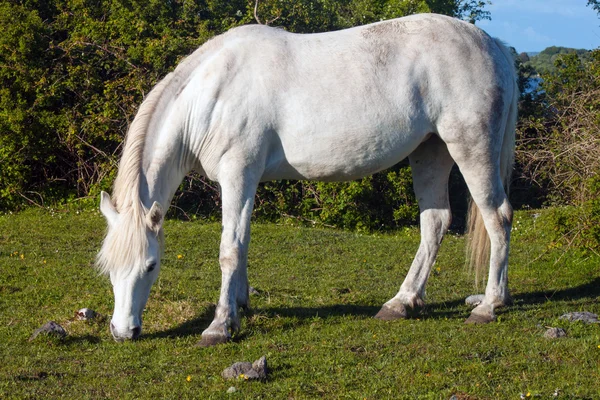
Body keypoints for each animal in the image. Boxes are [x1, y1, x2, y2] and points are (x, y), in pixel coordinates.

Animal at [96, 12, 516, 344]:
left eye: (151, 265)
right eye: (108, 267)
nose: (124, 331)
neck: (213, 92)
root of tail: (492, 45)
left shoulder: (238, 174)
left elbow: (229, 249)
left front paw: (219, 326)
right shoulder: (246, 181)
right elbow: (243, 242)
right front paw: (240, 305)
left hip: (470, 149)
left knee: (498, 218)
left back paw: (489, 305)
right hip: (431, 151)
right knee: (435, 223)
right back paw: (402, 303)